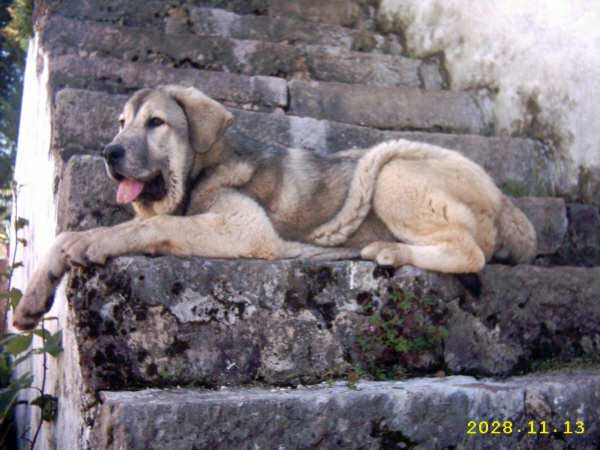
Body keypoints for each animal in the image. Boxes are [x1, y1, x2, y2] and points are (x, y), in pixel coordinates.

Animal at [14, 85, 536, 330]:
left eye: (156, 123)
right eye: (121, 123)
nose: (109, 153)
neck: (202, 166)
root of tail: (507, 203)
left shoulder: (244, 228)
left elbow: (143, 229)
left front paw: (95, 243)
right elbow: (68, 236)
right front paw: (32, 299)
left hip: (392, 169)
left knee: (469, 252)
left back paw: (390, 251)